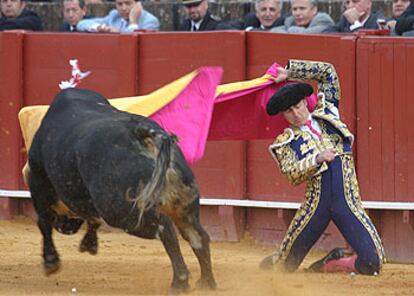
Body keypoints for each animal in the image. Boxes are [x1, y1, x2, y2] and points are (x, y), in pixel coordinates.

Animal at [27, 88, 217, 294]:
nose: (65, 228)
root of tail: (142, 133)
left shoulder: (39, 185)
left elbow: (44, 222)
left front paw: (51, 262)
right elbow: (91, 219)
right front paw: (88, 245)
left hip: (123, 211)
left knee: (165, 230)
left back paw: (180, 282)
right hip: (184, 204)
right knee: (197, 235)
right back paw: (206, 283)